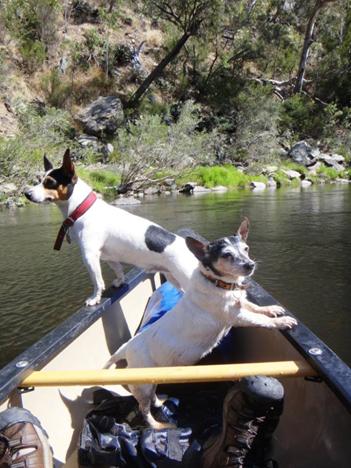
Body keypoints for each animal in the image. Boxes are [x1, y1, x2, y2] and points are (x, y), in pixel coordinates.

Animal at [24, 148, 201, 306]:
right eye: (40, 180)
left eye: (49, 182)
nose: (26, 193)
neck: (82, 209)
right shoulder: (109, 257)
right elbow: (118, 270)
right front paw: (119, 282)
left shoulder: (90, 256)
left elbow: (97, 282)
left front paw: (94, 298)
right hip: (174, 279)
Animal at [105, 219, 300, 428]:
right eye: (227, 255)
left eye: (246, 249)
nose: (250, 265)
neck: (220, 285)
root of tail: (126, 348)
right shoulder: (237, 317)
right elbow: (262, 321)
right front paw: (282, 321)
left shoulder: (241, 305)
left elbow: (255, 307)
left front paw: (272, 309)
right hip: (142, 385)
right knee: (144, 409)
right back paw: (157, 425)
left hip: (153, 377)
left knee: (153, 396)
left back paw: (160, 402)